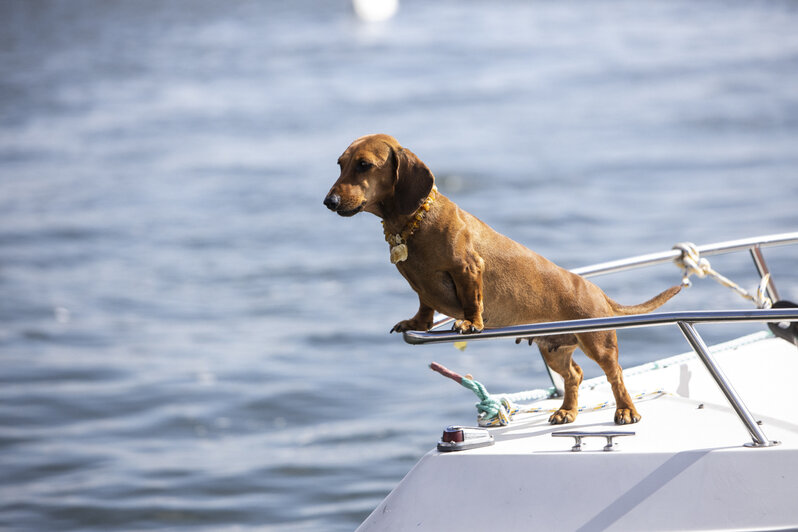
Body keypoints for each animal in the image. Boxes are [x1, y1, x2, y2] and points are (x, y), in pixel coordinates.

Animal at [324, 134, 680, 424]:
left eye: (364, 165)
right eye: (341, 164)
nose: (329, 202)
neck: (415, 222)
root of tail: (597, 291)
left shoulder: (468, 268)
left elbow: (472, 300)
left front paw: (470, 323)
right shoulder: (422, 289)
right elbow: (424, 306)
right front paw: (416, 322)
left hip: (598, 342)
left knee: (615, 374)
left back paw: (626, 410)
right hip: (555, 349)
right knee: (574, 375)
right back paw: (567, 411)